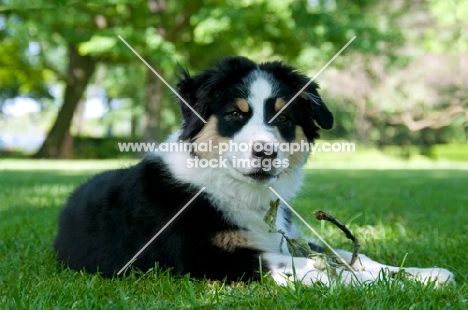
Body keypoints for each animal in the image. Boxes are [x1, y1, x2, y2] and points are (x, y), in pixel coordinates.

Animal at [54, 56, 454, 286]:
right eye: (235, 113)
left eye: (284, 118)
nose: (265, 152)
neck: (236, 190)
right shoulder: (209, 257)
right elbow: (316, 268)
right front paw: (393, 286)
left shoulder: (286, 237)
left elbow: (345, 256)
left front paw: (423, 275)